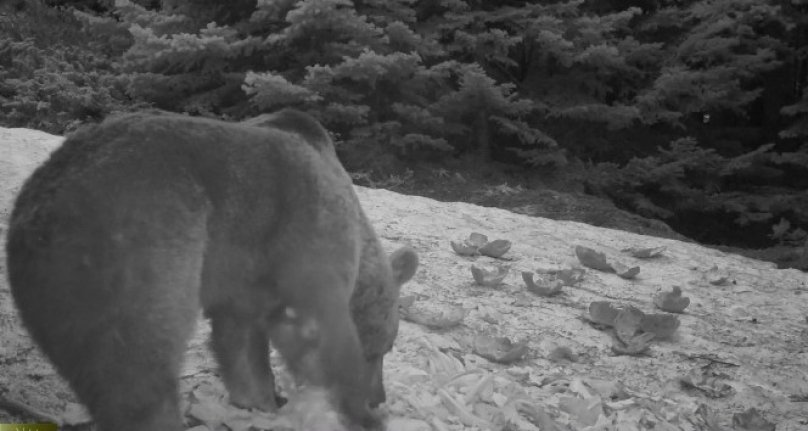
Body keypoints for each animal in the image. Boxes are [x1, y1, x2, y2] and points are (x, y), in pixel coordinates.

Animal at [6, 110, 420, 431]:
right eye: (383, 349)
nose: (379, 396)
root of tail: (39, 214)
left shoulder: (244, 271)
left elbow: (238, 339)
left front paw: (260, 397)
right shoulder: (307, 234)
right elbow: (314, 328)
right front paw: (360, 412)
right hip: (140, 258)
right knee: (137, 371)